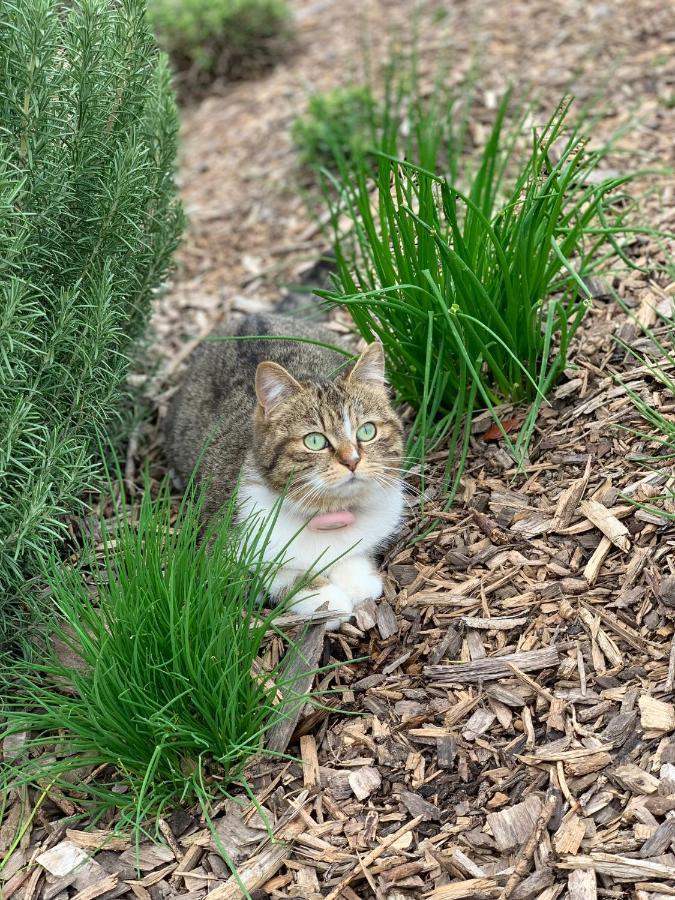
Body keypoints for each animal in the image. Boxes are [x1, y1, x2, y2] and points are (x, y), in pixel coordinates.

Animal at [166, 312, 404, 628]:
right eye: (314, 440)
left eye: (367, 431)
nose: (352, 460)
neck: (327, 515)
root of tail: (251, 316)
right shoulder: (217, 555)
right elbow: (278, 574)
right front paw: (325, 598)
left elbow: (356, 553)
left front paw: (355, 580)